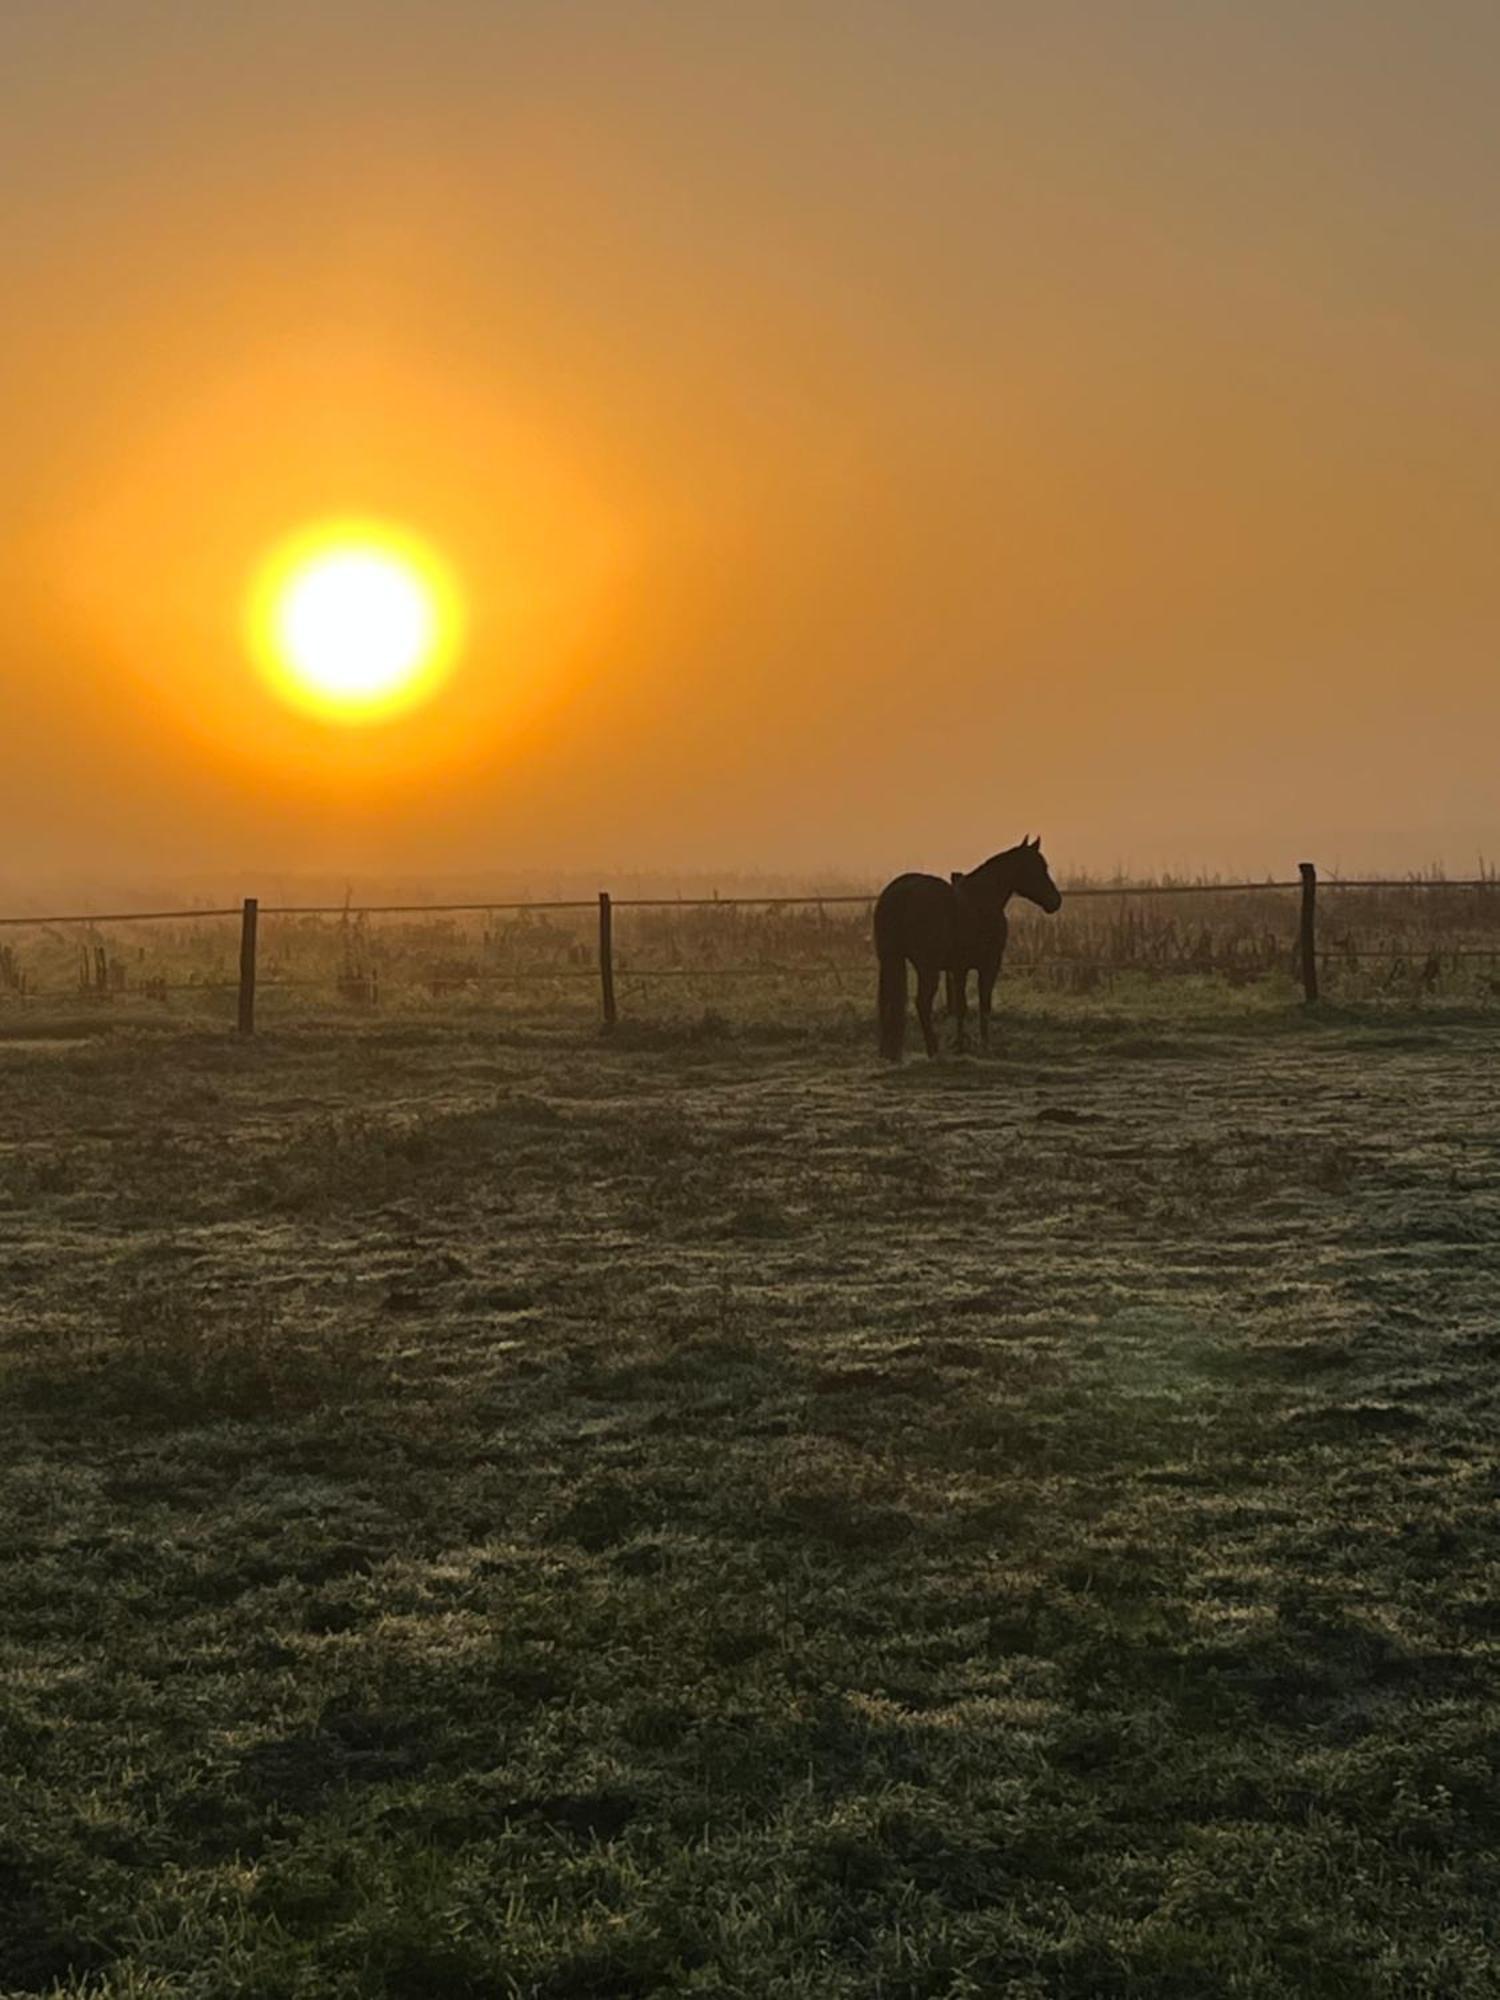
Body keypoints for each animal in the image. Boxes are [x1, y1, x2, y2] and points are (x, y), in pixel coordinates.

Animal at [876, 832, 1064, 1064]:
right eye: (1037, 867)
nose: (1056, 901)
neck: (982, 900)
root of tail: (900, 893)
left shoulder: (959, 968)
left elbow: (962, 1007)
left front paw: (961, 1045)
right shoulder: (989, 965)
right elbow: (984, 1004)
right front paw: (985, 1046)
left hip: (892, 961)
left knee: (889, 1005)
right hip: (927, 968)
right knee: (922, 1004)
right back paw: (933, 1050)